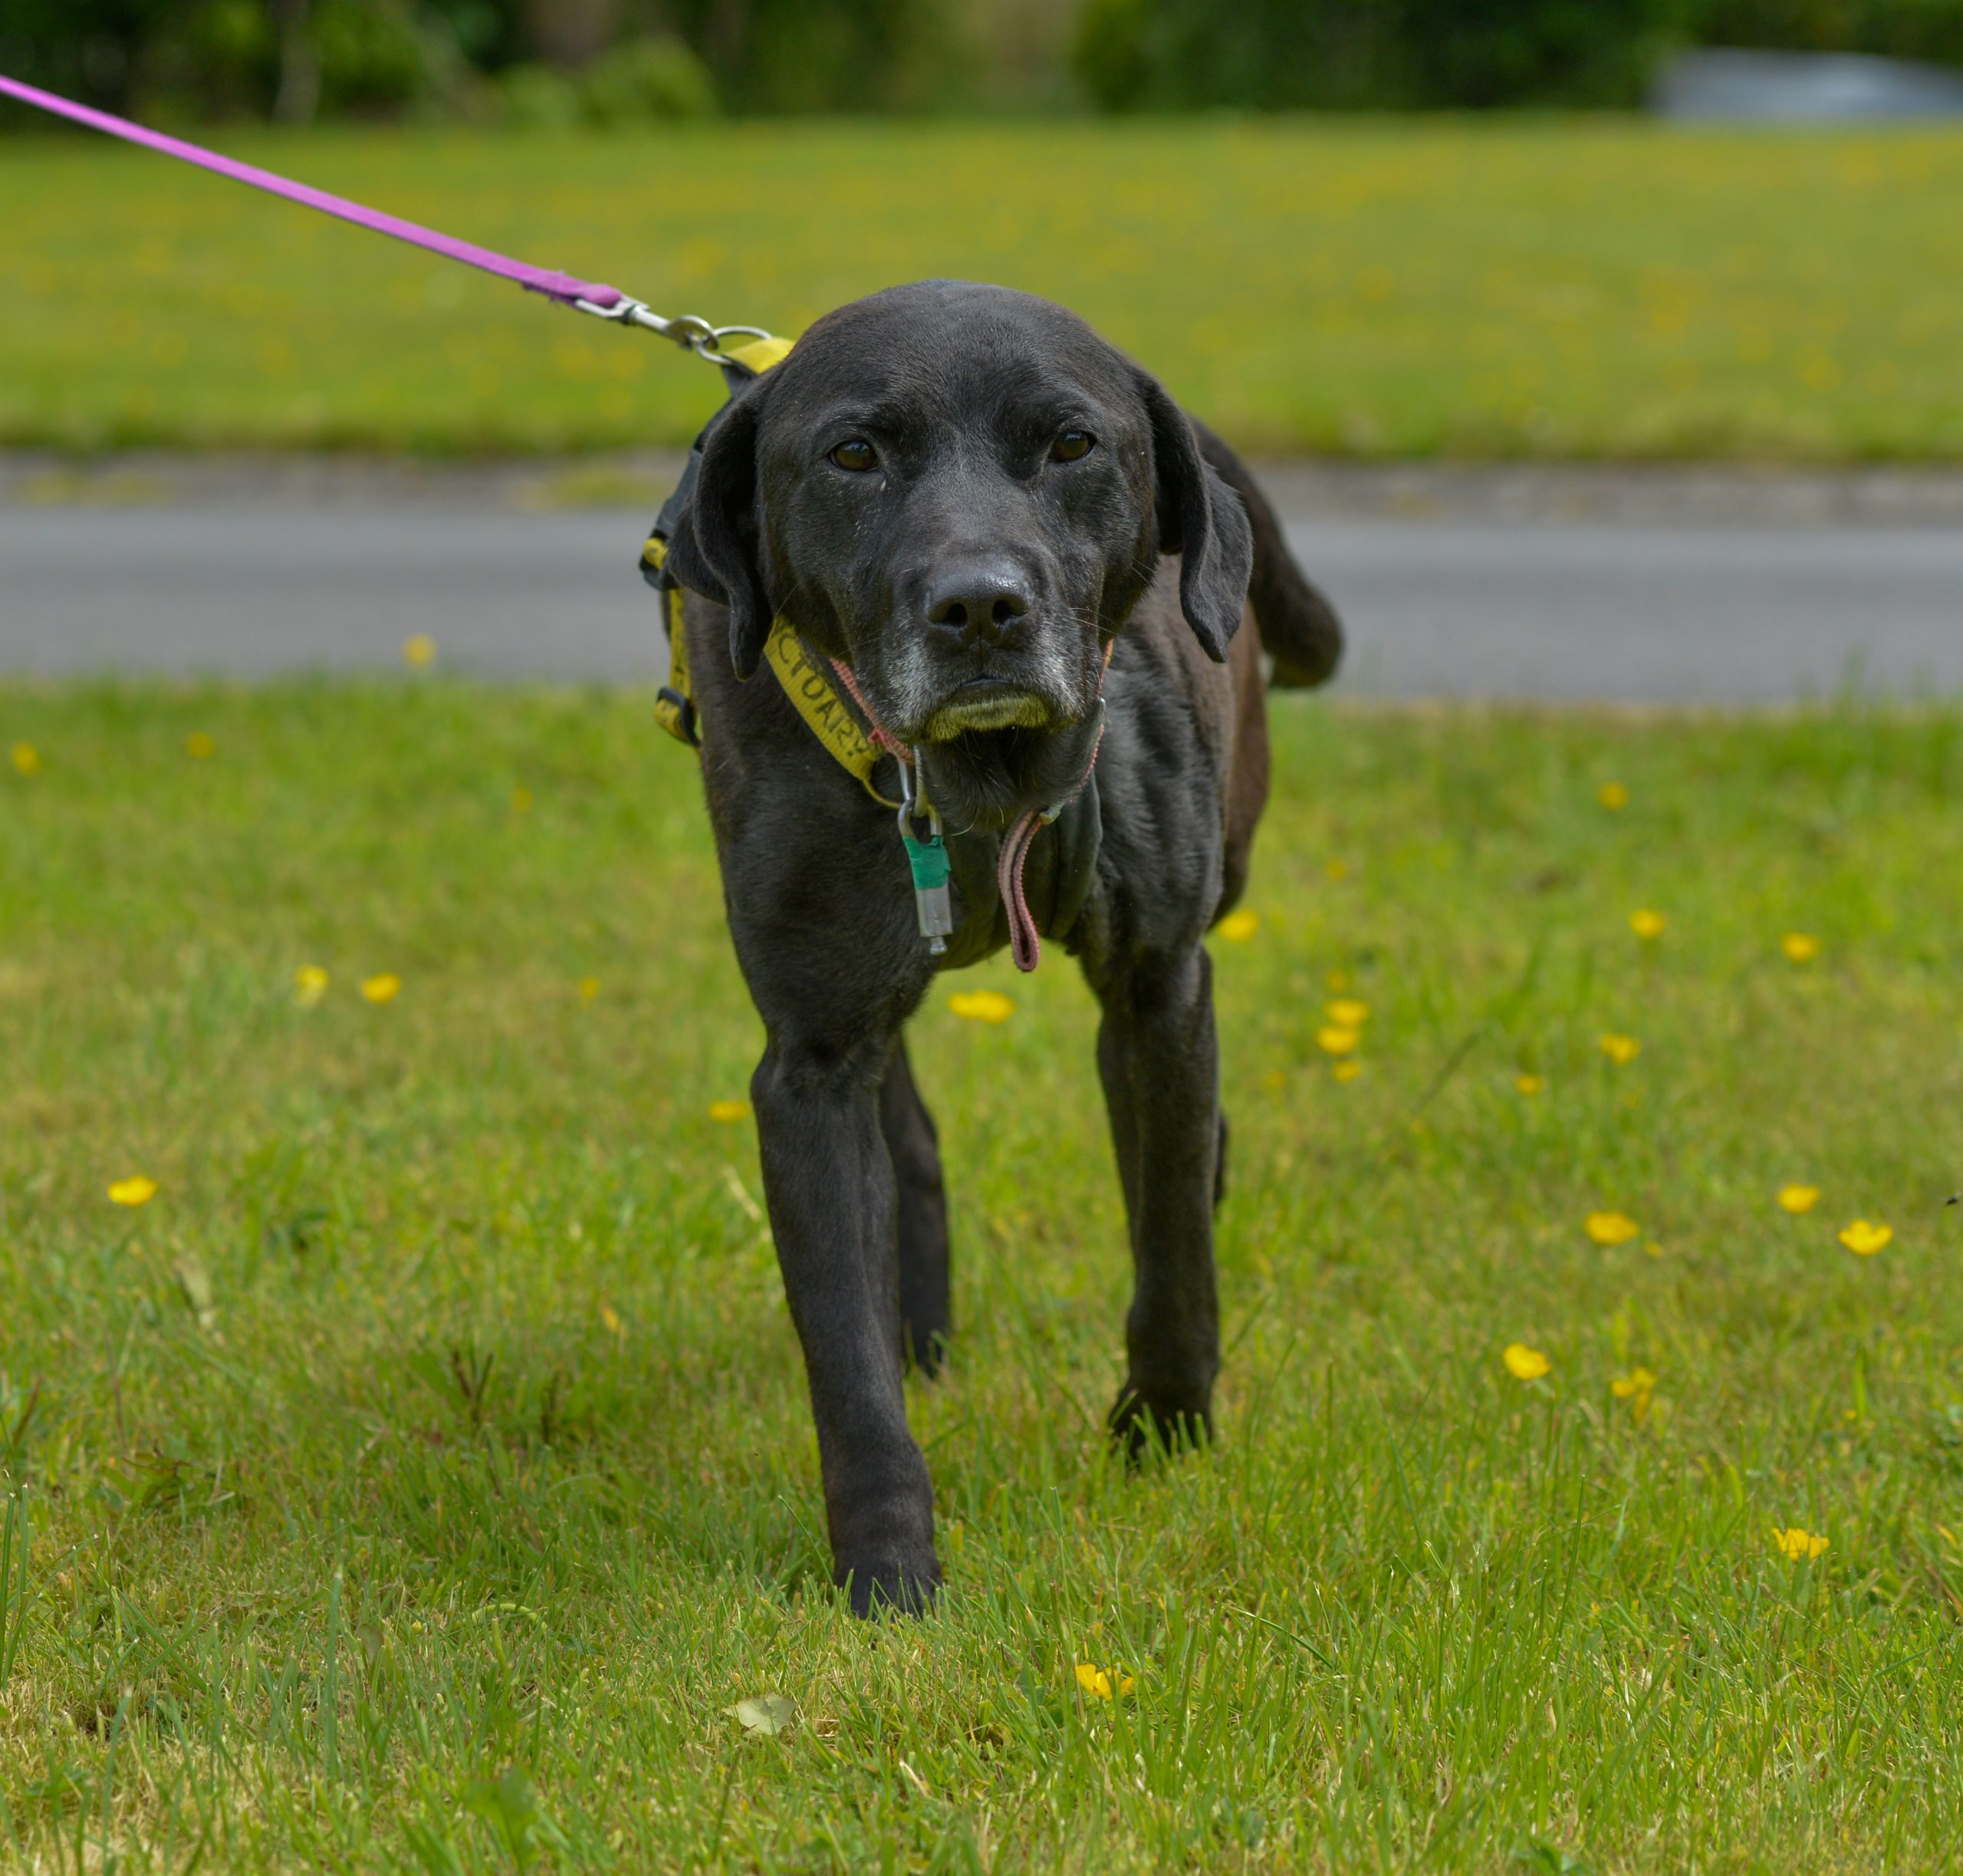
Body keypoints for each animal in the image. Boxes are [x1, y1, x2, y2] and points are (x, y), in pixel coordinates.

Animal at [667, 278, 1343, 1611]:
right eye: (853, 454)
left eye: (1073, 443)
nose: (979, 606)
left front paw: (1162, 1432)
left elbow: (1173, 1244)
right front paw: (887, 1570)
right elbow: (845, 1356)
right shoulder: (811, 1057)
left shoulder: (1157, 990)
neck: (980, 784)